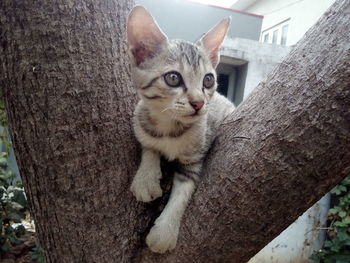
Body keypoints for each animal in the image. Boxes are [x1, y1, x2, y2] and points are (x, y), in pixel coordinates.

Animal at [127, 5, 234, 254]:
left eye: (208, 80)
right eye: (173, 78)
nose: (198, 103)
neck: (169, 127)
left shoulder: (194, 158)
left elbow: (182, 192)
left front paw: (164, 232)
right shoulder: (141, 121)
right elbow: (148, 144)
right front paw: (146, 178)